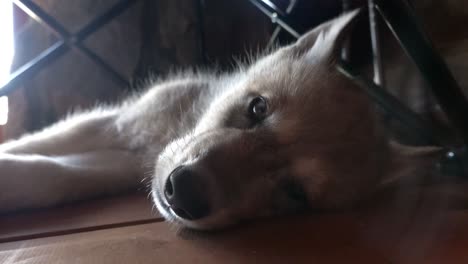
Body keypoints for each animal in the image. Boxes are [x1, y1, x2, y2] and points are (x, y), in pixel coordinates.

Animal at [0, 10, 442, 229]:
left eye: (294, 193)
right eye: (257, 108)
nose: (184, 192)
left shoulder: (116, 165)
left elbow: (54, 177)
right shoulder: (113, 122)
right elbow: (39, 145)